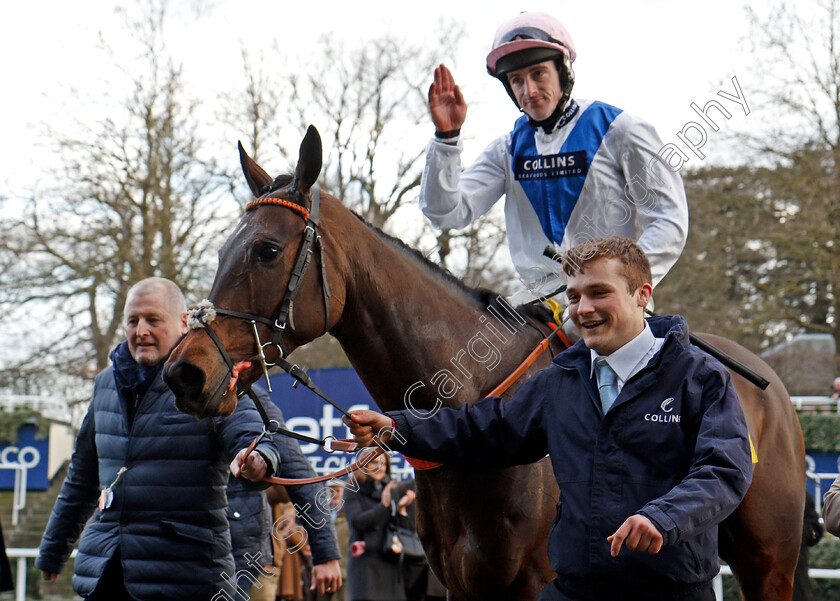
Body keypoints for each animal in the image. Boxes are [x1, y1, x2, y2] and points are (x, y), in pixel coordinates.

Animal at [162, 127, 808, 600]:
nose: (184, 372)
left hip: (768, 563)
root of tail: (773, 387)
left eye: (267, 250)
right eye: (220, 251)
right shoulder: (463, 587)